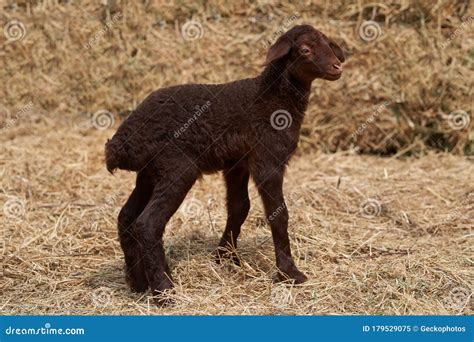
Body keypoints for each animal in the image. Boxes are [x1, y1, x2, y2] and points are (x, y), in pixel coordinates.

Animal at [105, 25, 346, 306]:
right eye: (305, 50)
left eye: (328, 44)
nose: (337, 66)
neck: (273, 98)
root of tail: (122, 143)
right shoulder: (267, 159)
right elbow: (278, 214)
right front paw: (290, 273)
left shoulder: (237, 163)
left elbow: (239, 208)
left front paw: (225, 257)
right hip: (176, 167)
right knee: (147, 223)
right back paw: (164, 291)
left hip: (149, 173)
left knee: (126, 217)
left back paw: (139, 283)